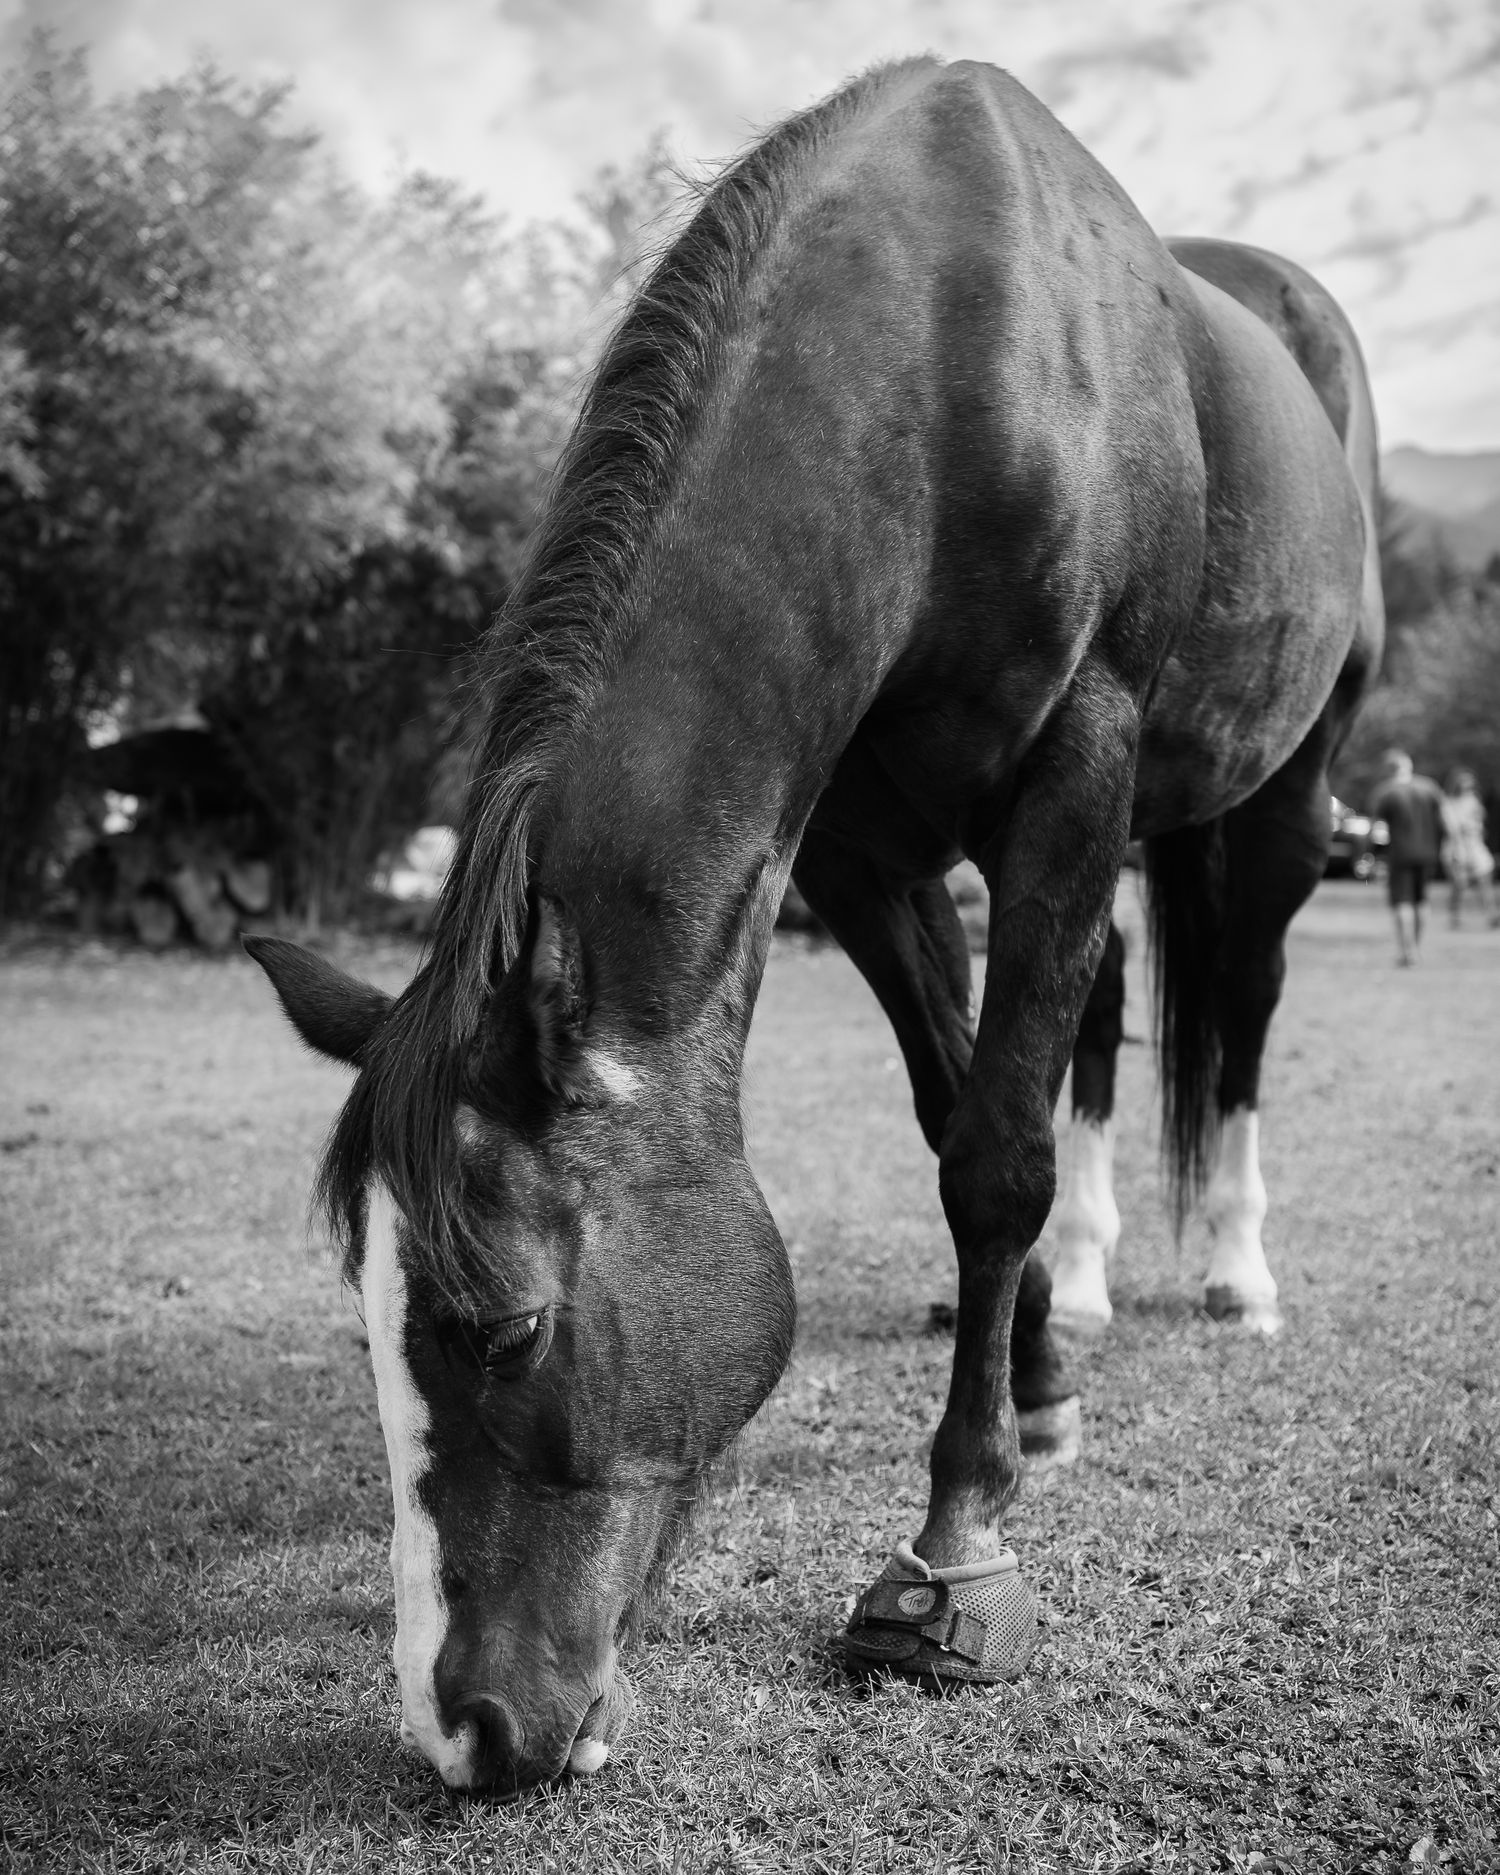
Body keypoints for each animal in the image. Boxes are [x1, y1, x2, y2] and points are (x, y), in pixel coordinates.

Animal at [247, 56, 1382, 1791]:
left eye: (504, 1328)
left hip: (1283, 791)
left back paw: (1236, 1272)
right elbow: (955, 1100)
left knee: (1239, 1000)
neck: (959, 352)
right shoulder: (854, 846)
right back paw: (1084, 1299)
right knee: (1106, 1005)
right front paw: (1033, 1375)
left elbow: (993, 1153)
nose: (467, 1732)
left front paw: (956, 1543)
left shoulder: (1080, 765)